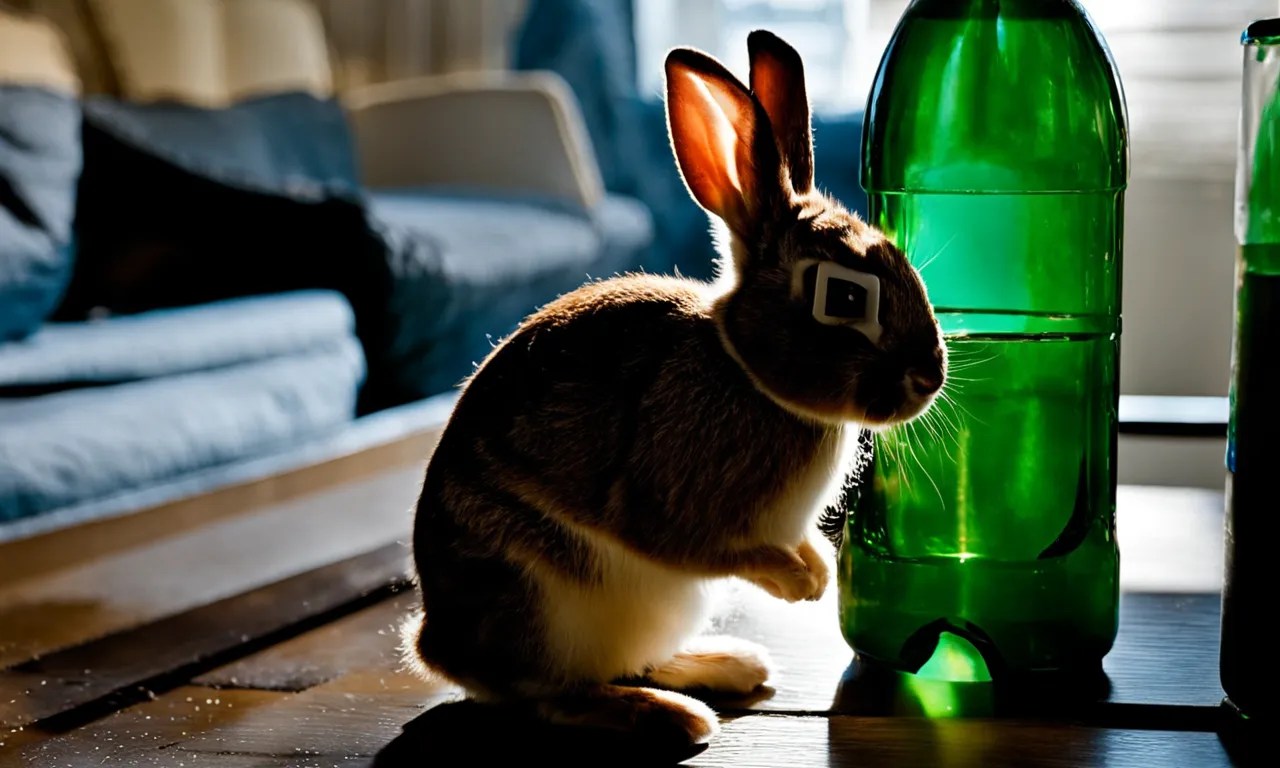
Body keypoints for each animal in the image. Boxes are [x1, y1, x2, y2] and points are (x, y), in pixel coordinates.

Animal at [402, 29, 947, 761]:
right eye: (846, 298)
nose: (930, 377)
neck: (746, 371)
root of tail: (434, 644)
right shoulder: (668, 505)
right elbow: (705, 545)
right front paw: (801, 584)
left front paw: (817, 571)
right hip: (542, 601)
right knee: (550, 694)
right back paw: (671, 716)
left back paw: (727, 666)